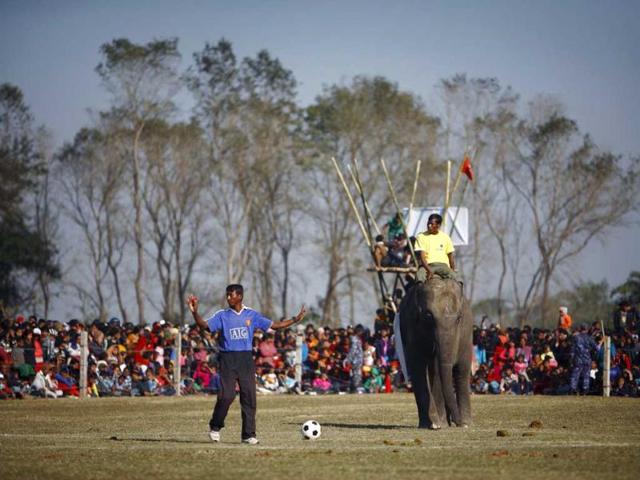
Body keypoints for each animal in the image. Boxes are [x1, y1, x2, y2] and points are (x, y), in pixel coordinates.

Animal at [397, 277, 473, 429]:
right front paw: (431, 424)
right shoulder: (410, 327)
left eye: (459, 318)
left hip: (467, 339)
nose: (458, 423)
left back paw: (466, 422)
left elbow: (438, 370)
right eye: (428, 315)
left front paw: (440, 423)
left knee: (461, 372)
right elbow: (417, 367)